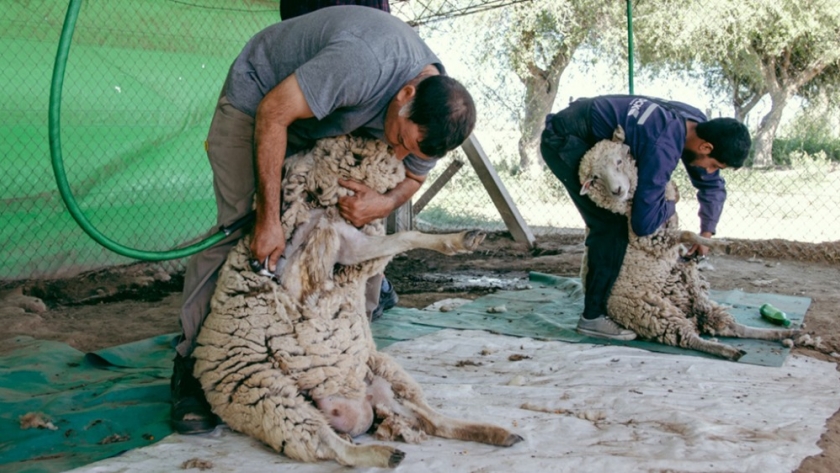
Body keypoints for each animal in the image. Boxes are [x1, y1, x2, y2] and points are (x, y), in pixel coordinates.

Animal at [192, 135, 520, 466]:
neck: (318, 211)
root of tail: (357, 412)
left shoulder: (347, 241)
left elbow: (406, 237)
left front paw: (462, 240)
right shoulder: (303, 252)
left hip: (384, 380)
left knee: (431, 420)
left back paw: (497, 433)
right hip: (269, 395)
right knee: (327, 444)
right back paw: (382, 454)